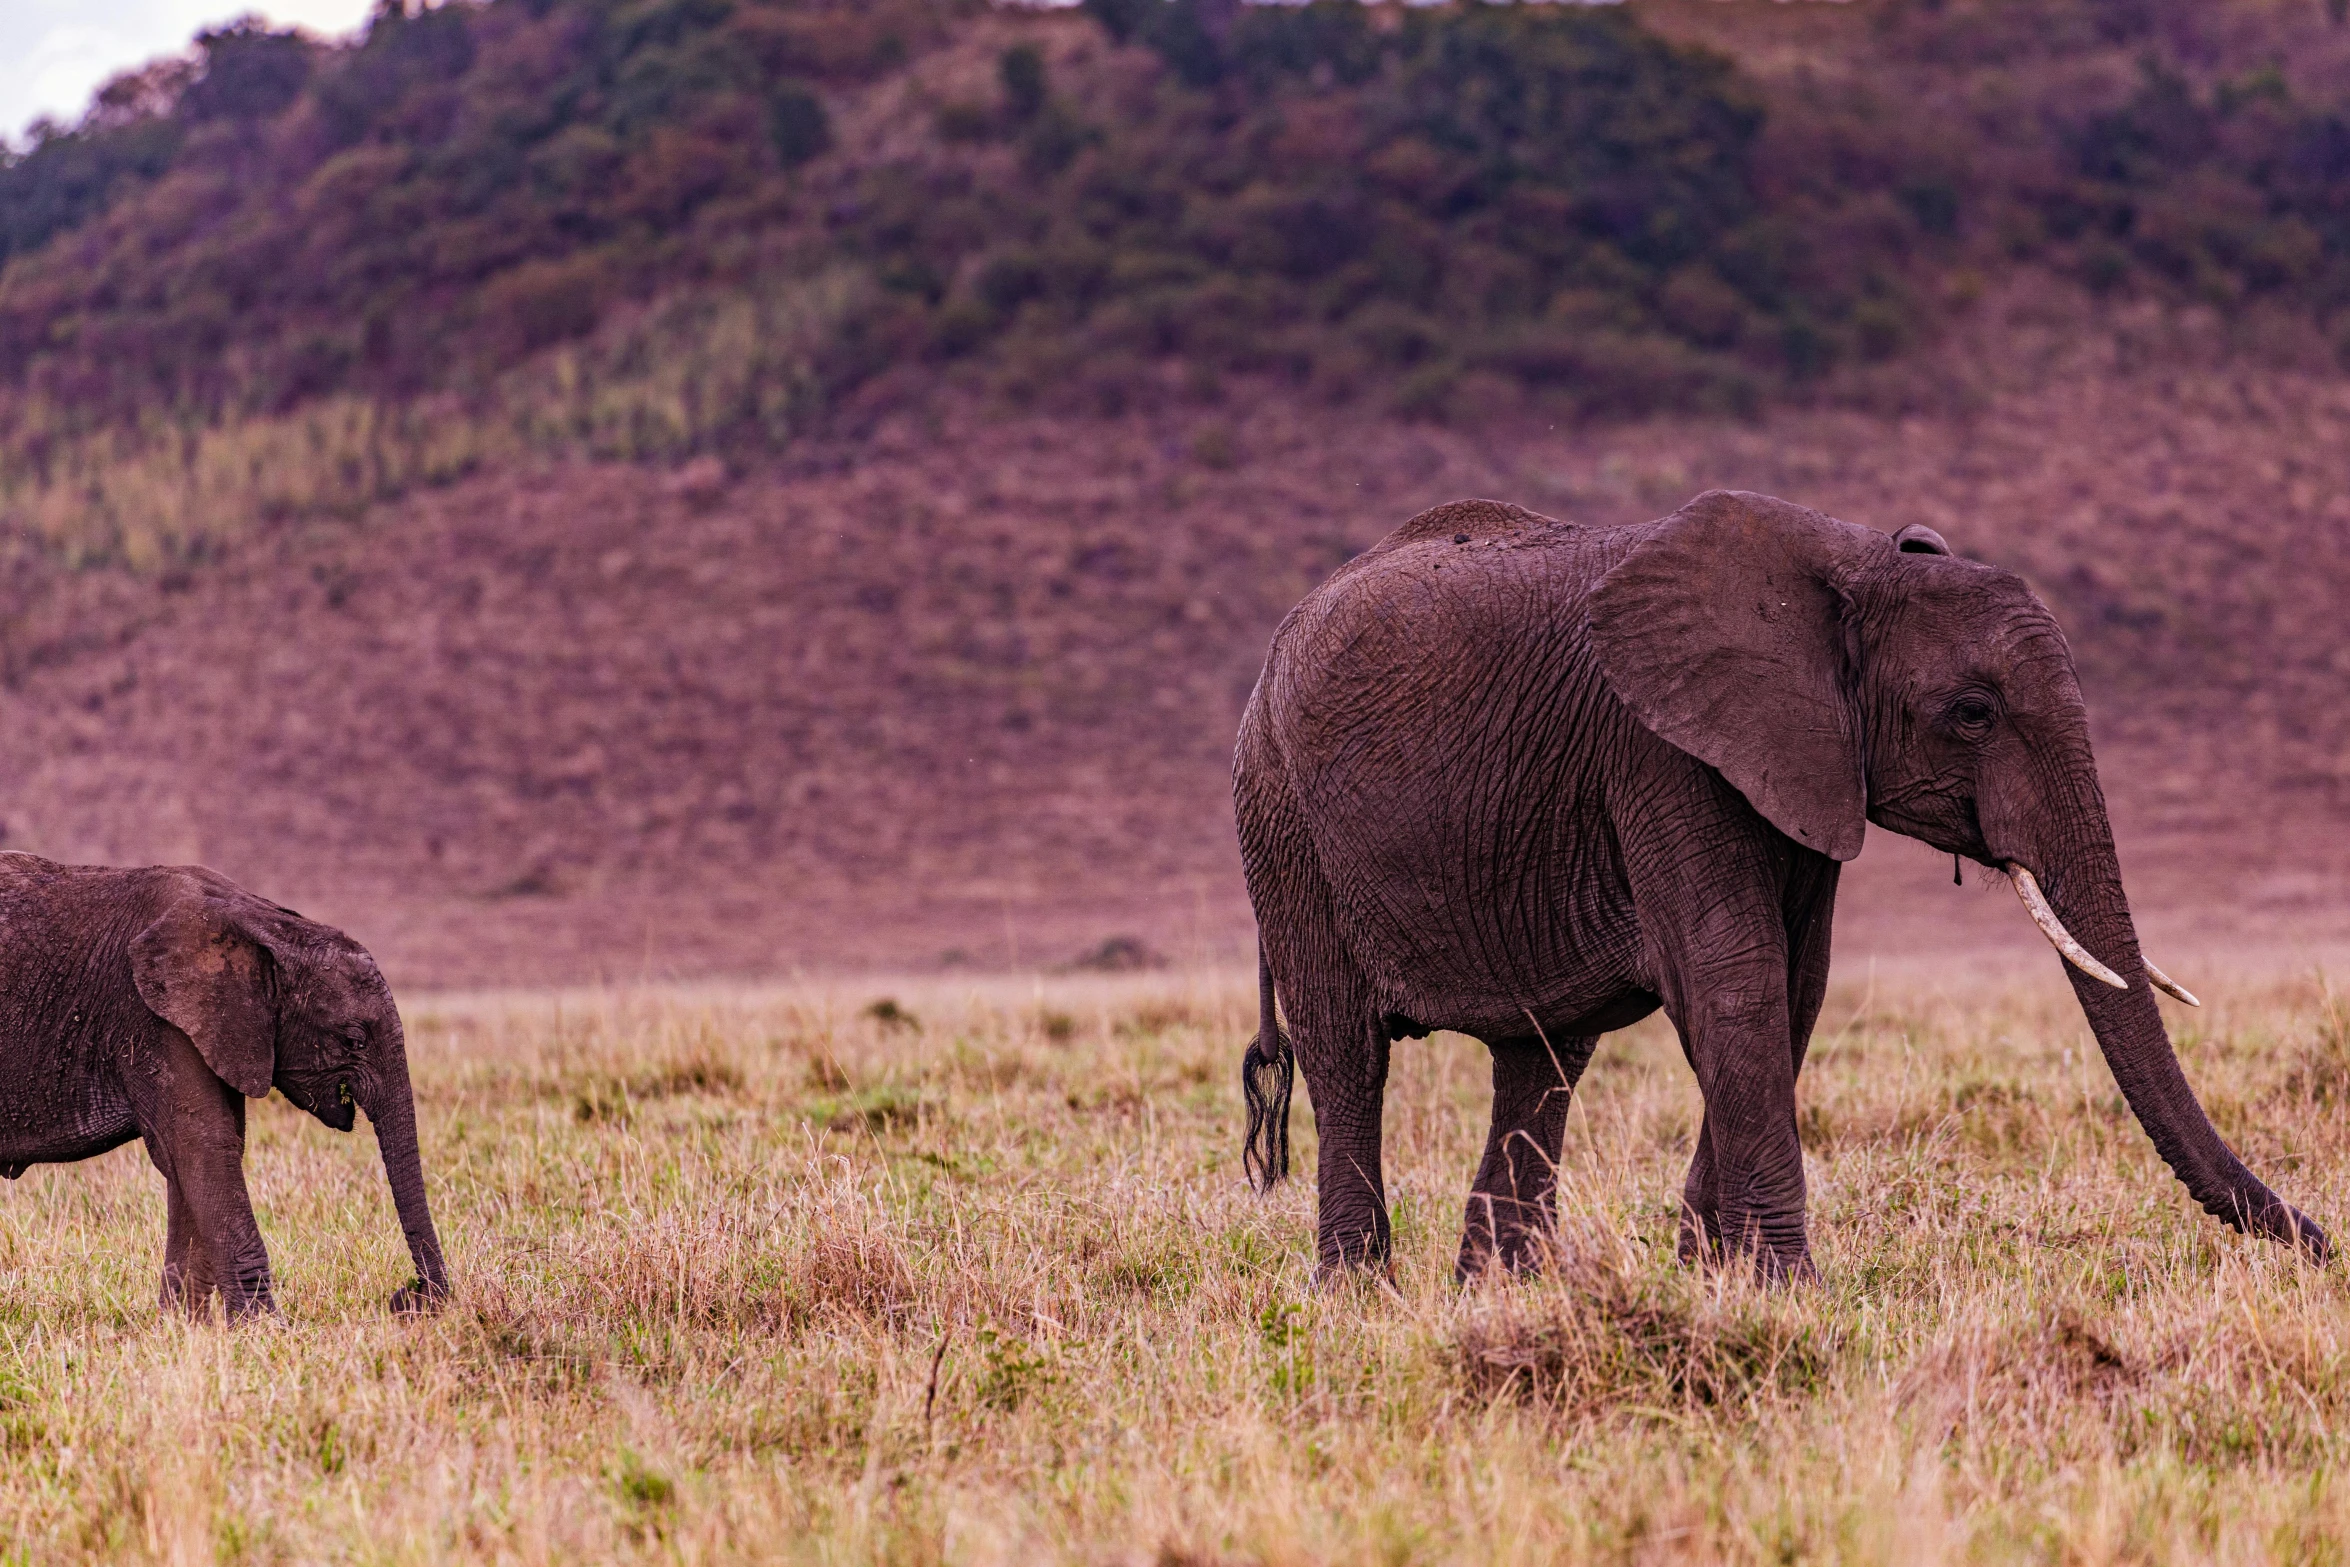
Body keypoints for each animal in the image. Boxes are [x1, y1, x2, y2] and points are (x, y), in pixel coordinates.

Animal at [0, 850, 448, 1315]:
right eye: (354, 1039)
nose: (406, 1296)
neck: (264, 927)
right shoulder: (153, 1019)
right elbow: (203, 1147)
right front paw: (262, 1328)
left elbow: (199, 1157)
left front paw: (180, 1326)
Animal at [1240, 493, 2321, 1287]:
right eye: (1972, 713)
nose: (2322, 1244)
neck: (1850, 562)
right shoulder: (1660, 752)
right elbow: (1735, 979)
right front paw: (1787, 1288)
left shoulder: (1800, 764)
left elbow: (1794, 988)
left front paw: (1711, 1276)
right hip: (1282, 818)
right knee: (1348, 1053)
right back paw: (1359, 1295)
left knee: (1541, 1060)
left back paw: (1498, 1292)